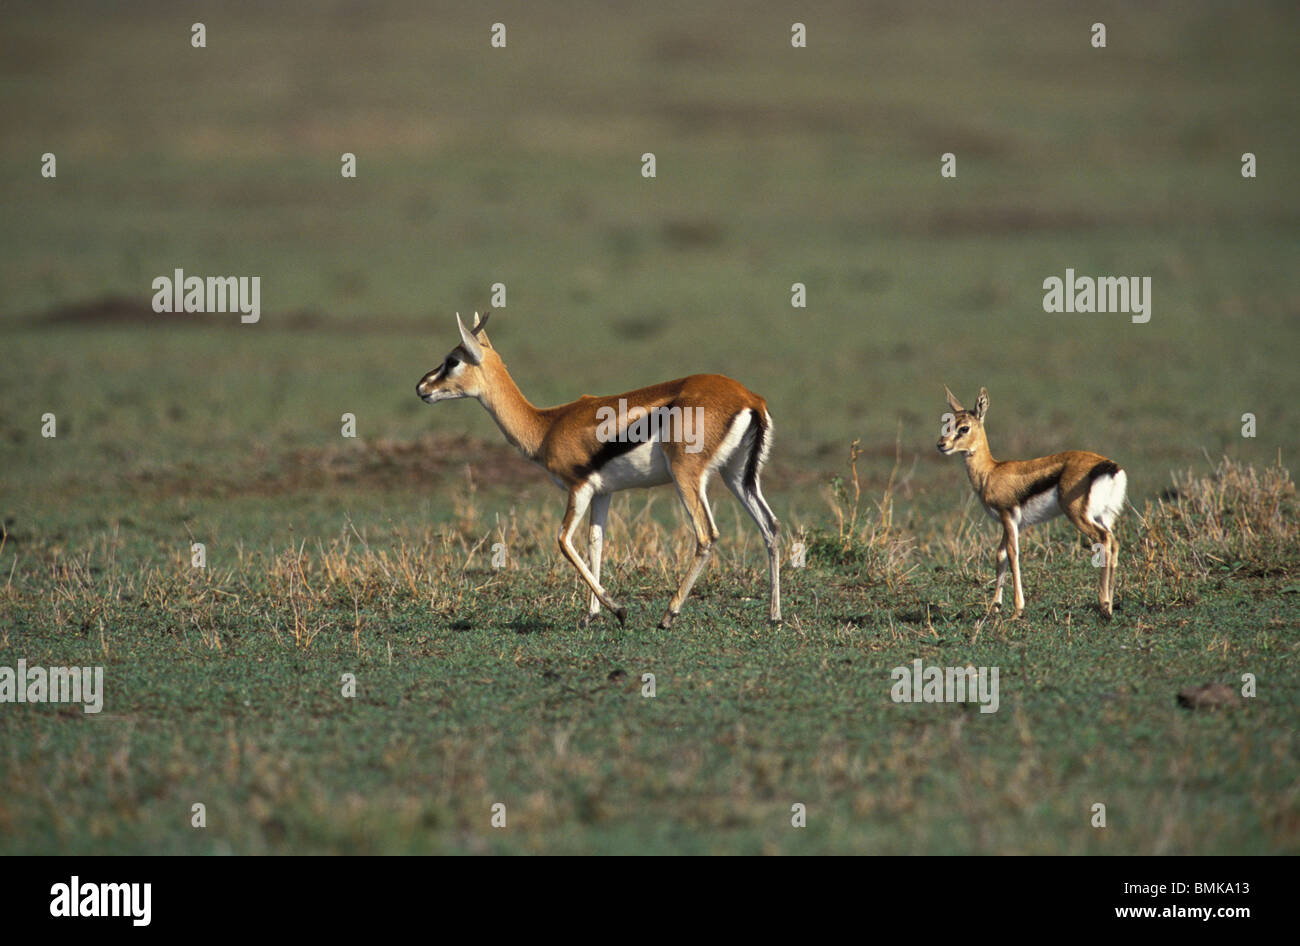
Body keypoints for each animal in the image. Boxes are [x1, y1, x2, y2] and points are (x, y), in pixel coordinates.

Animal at [416, 312, 782, 629]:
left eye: (452, 360)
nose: (422, 387)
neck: (545, 425)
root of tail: (750, 399)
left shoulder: (578, 488)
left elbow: (563, 540)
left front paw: (618, 610)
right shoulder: (603, 493)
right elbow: (596, 542)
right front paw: (591, 615)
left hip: (687, 476)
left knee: (707, 534)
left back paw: (668, 615)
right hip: (737, 477)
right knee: (770, 527)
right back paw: (774, 616)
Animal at [936, 386, 1127, 618]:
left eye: (964, 428)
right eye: (947, 423)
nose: (941, 445)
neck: (990, 472)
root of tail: (1108, 466)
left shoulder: (1008, 517)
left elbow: (1013, 555)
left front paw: (1017, 610)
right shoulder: (1011, 523)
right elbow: (1000, 555)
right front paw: (995, 606)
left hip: (1079, 516)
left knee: (1104, 540)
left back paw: (1103, 604)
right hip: (1104, 517)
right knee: (1114, 542)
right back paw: (1110, 604)